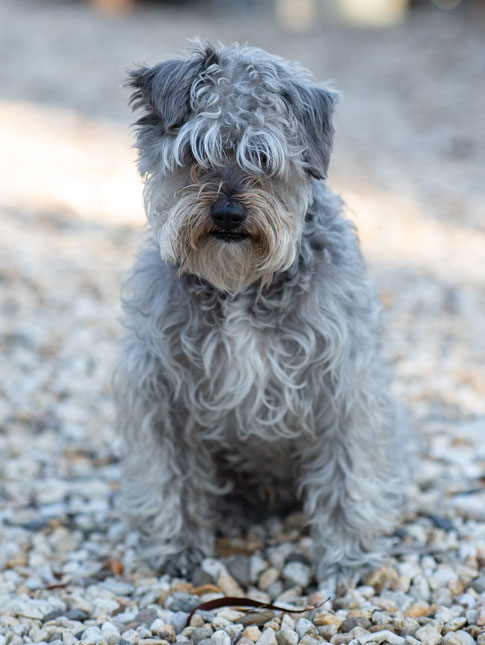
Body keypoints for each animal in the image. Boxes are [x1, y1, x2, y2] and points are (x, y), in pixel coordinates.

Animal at [114, 42, 400, 580]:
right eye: (196, 153)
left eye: (263, 157)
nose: (228, 214)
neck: (240, 287)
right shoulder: (163, 391)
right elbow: (174, 477)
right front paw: (179, 546)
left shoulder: (340, 389)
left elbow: (345, 475)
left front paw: (346, 557)